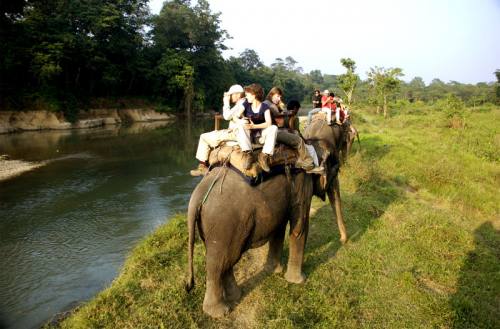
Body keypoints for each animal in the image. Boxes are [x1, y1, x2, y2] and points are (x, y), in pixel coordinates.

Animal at [187, 121, 348, 316]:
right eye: (336, 168)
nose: (343, 240)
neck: (312, 144)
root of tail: (198, 195)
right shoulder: (302, 184)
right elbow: (299, 227)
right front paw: (298, 281)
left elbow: (278, 227)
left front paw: (274, 271)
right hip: (224, 225)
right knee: (218, 264)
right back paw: (220, 312)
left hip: (215, 227)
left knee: (226, 260)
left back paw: (235, 295)